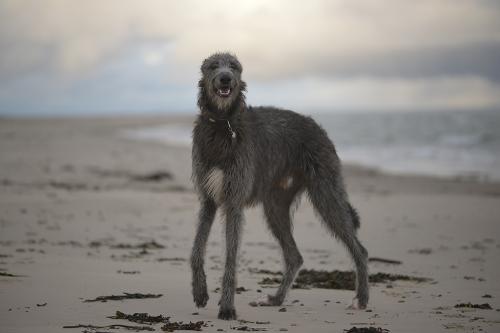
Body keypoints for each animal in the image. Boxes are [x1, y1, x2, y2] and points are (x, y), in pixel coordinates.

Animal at [189, 52, 370, 320]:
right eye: (213, 66)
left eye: (234, 66)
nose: (225, 79)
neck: (223, 124)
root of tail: (319, 128)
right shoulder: (208, 199)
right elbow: (196, 249)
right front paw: (200, 293)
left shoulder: (233, 202)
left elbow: (230, 257)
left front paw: (227, 307)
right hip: (276, 206)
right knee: (294, 257)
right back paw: (276, 299)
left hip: (326, 194)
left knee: (359, 249)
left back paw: (362, 298)